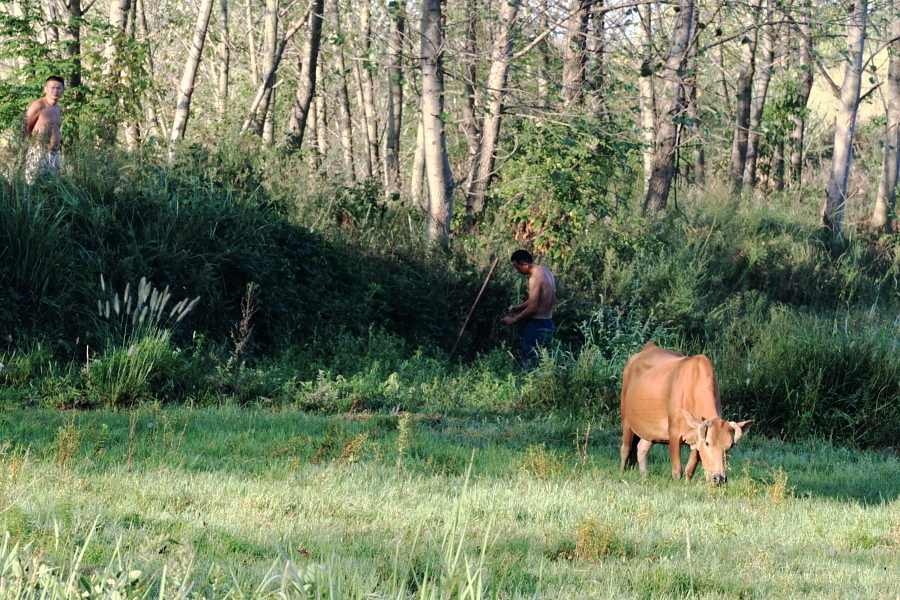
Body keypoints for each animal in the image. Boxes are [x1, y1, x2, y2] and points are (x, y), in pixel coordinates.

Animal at [620, 342, 752, 482]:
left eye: (730, 446)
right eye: (707, 443)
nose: (719, 478)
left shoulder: (696, 436)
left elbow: (690, 468)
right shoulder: (674, 433)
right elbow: (677, 470)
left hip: (650, 429)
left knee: (641, 448)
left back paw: (644, 475)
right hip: (626, 420)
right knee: (626, 448)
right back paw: (623, 471)